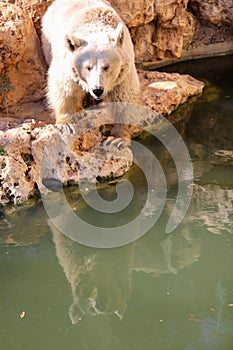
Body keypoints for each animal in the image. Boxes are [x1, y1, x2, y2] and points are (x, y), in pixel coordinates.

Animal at [41, 0, 140, 128]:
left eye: (106, 67)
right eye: (88, 67)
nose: (97, 90)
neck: (96, 26)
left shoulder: (123, 73)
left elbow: (124, 96)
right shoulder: (67, 65)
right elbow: (64, 88)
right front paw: (66, 121)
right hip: (48, 38)